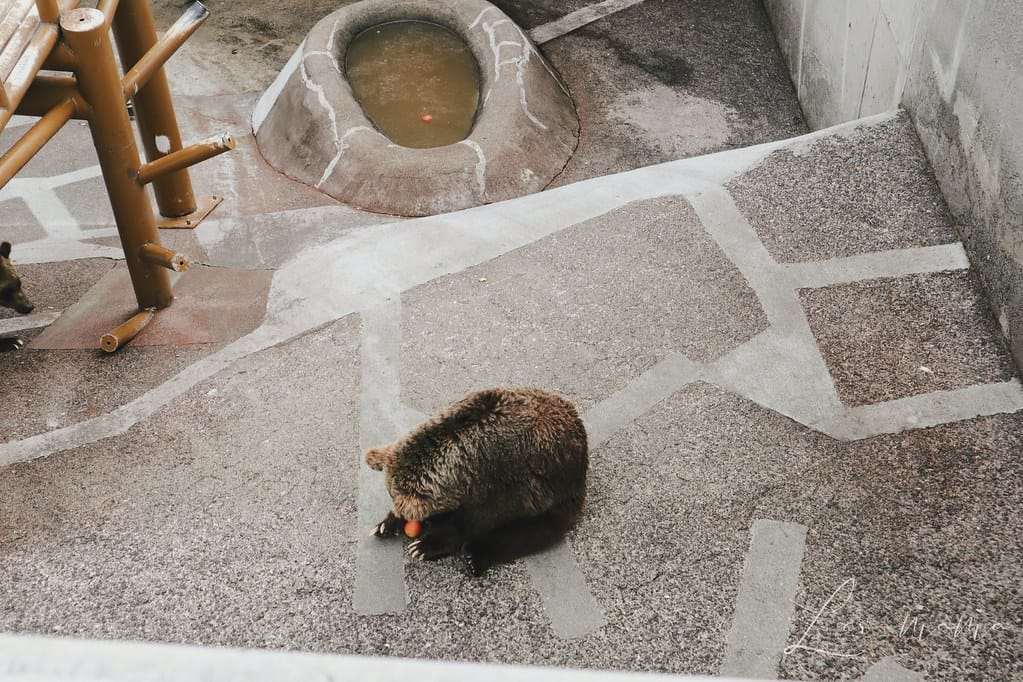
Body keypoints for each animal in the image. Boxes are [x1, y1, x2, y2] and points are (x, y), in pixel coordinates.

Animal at [366, 387, 588, 575]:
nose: (419, 522)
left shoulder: (503, 483)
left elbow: (474, 521)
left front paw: (424, 546)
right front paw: (386, 525)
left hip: (555, 489)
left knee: (532, 531)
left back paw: (476, 556)